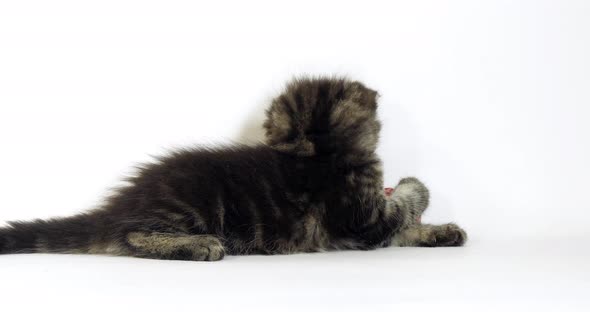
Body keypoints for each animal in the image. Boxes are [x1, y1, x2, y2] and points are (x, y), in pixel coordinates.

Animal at [1, 78, 472, 260]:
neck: (317, 155)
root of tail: (118, 205)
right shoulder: (362, 217)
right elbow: (403, 209)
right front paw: (414, 185)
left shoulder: (367, 229)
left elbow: (405, 230)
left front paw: (442, 232)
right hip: (186, 206)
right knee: (130, 237)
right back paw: (199, 246)